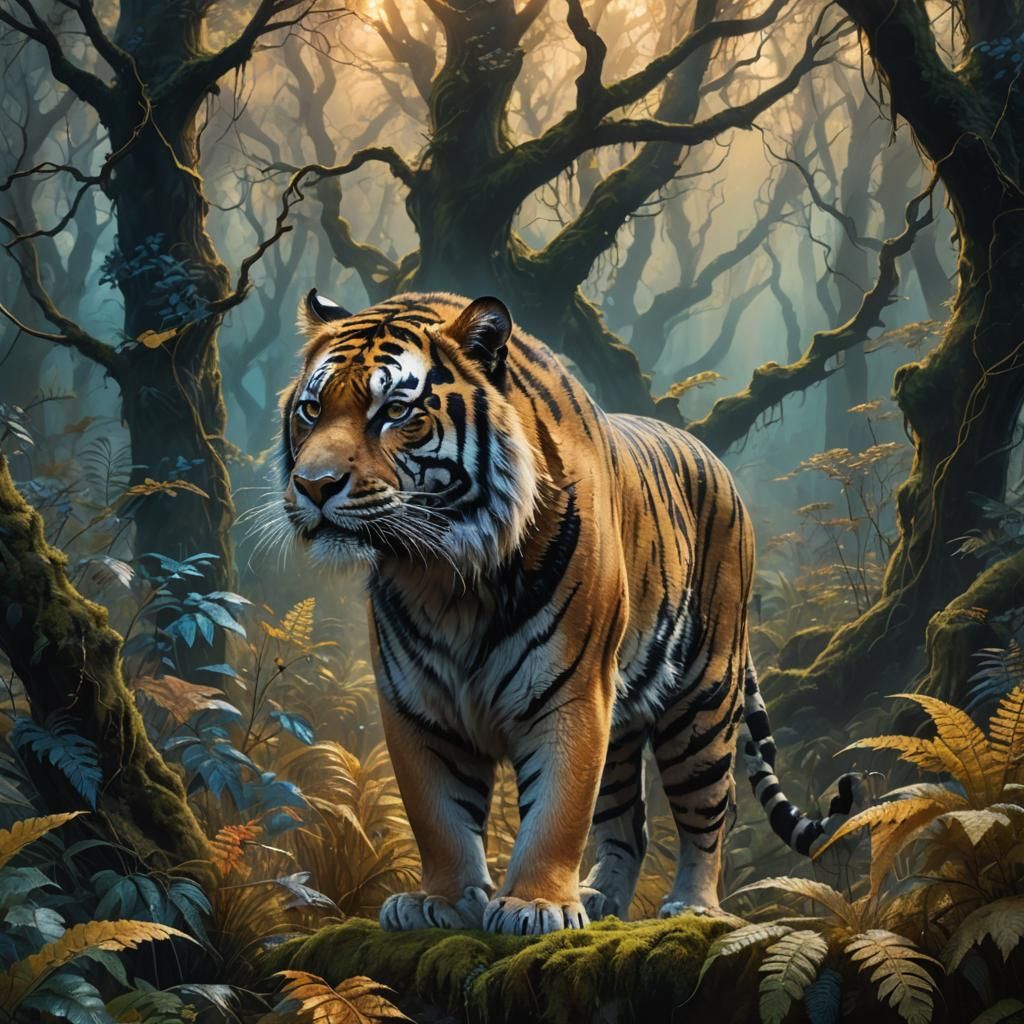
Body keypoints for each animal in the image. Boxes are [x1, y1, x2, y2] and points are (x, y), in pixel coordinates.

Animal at [279, 289, 856, 935]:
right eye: (311, 410)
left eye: (396, 411)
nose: (314, 485)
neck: (446, 574)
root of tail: (715, 462)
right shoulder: (417, 705)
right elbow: (438, 815)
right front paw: (442, 903)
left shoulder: (572, 691)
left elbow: (558, 807)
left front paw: (535, 907)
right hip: (625, 722)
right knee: (629, 819)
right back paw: (601, 896)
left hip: (703, 699)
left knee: (711, 810)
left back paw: (694, 905)